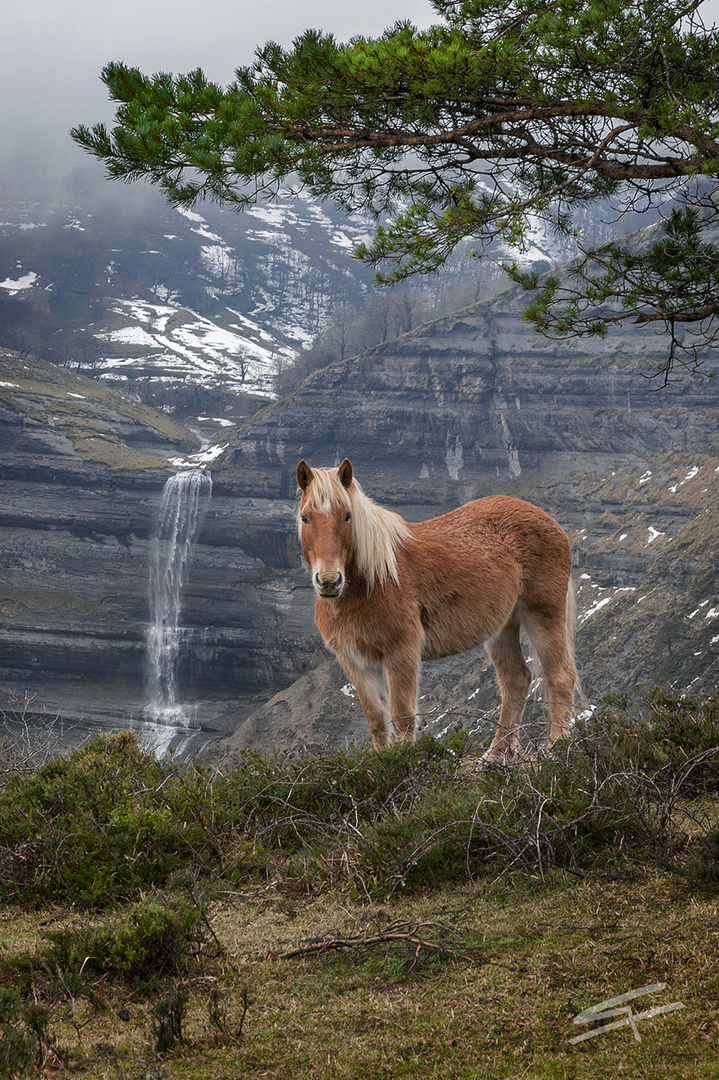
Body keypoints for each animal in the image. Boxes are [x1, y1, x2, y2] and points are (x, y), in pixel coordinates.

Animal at [293, 455, 578, 760]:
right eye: (305, 518)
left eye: (347, 515)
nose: (329, 581)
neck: (373, 581)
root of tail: (549, 521)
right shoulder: (356, 663)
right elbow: (377, 721)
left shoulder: (401, 653)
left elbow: (403, 716)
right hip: (503, 627)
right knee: (516, 681)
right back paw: (494, 756)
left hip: (543, 613)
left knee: (559, 676)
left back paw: (557, 748)